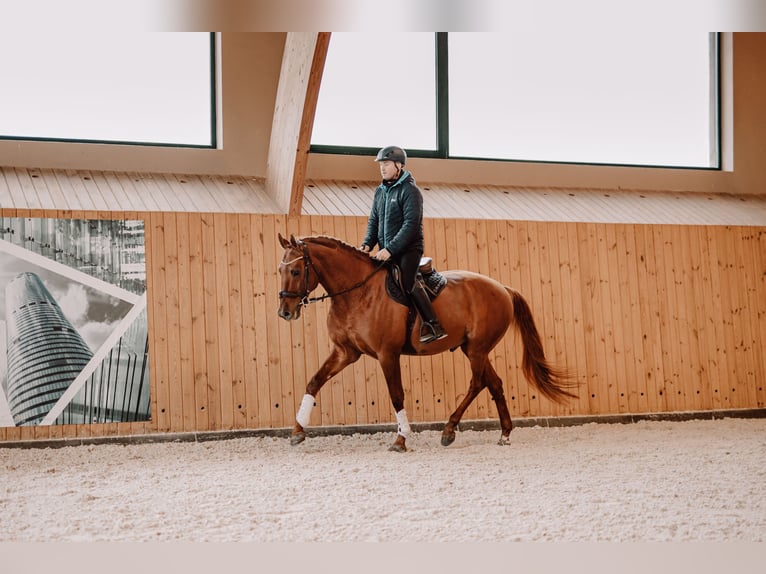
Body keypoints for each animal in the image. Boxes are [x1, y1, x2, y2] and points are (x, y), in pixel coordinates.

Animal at [276, 235, 576, 454]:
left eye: (295, 270)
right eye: (280, 269)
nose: (285, 312)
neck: (357, 293)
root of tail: (502, 288)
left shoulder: (387, 354)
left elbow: (396, 395)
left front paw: (401, 440)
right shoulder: (345, 352)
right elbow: (314, 382)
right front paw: (297, 431)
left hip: (477, 349)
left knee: (478, 382)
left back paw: (449, 430)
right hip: (473, 349)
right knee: (494, 383)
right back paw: (503, 434)